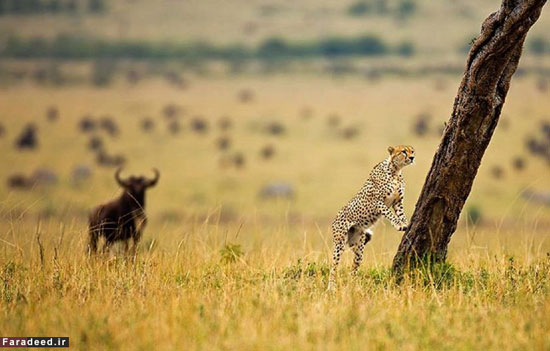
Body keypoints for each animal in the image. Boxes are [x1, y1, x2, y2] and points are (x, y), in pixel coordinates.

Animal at [330, 145, 416, 288]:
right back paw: (331, 286)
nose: (412, 157)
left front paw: (405, 223)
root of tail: (335, 218)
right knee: (333, 266)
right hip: (339, 243)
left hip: (358, 246)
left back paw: (353, 284)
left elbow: (401, 214)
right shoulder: (378, 202)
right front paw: (399, 224)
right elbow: (390, 214)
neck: (396, 171)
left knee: (355, 265)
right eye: (403, 151)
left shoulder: (397, 202)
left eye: (412, 151)